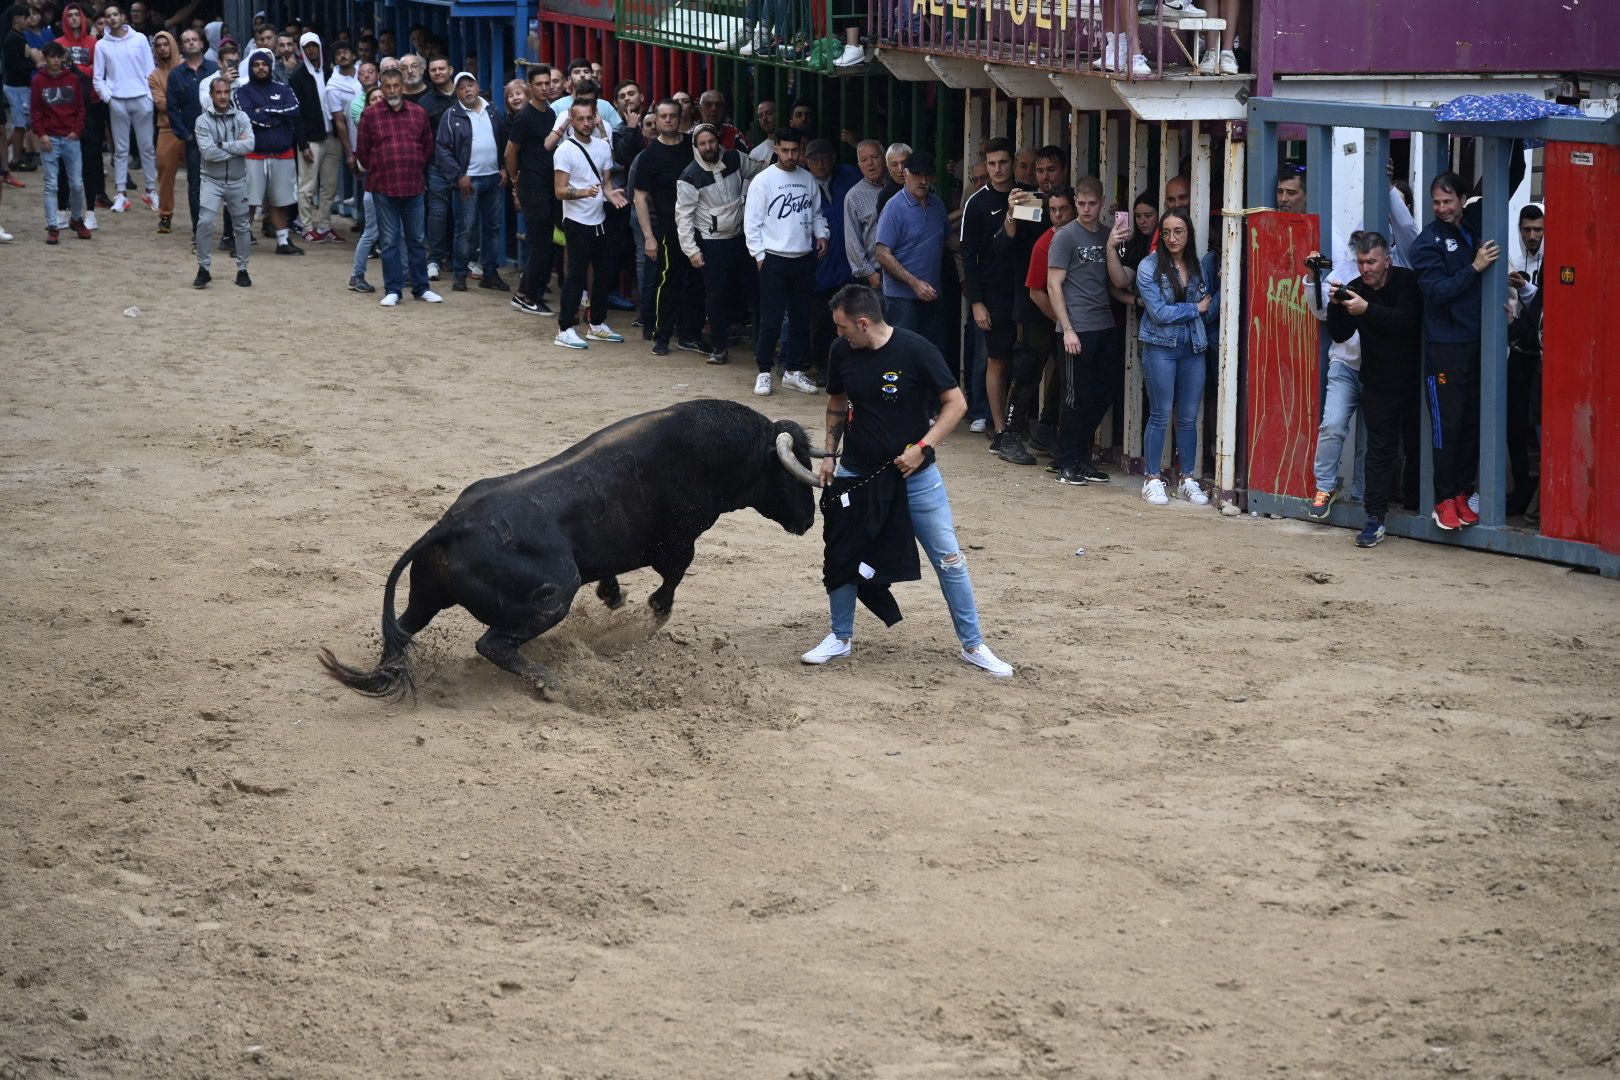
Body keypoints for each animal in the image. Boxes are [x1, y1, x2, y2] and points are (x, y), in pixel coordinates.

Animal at [319, 401, 822, 696]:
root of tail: (451, 525)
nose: (808, 521)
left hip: (425, 595)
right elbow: (673, 579)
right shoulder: (679, 542)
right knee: (492, 643)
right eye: (788, 476)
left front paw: (613, 596)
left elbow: (616, 570)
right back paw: (550, 683)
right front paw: (651, 614)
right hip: (554, 594)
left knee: (402, 631)